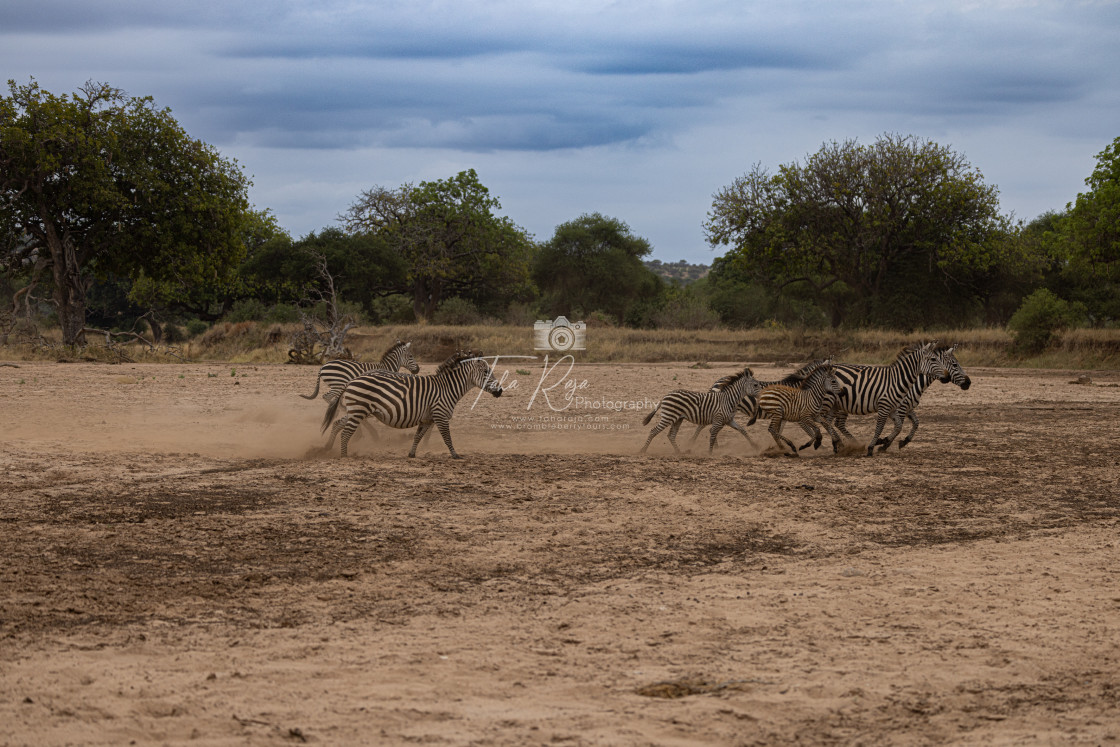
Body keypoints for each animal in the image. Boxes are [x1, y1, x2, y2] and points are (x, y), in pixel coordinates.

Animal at [322, 351, 501, 461]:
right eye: (486, 372)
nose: (500, 391)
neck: (447, 388)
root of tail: (351, 380)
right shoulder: (440, 416)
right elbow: (447, 438)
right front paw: (455, 455)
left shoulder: (427, 419)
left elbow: (418, 436)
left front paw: (411, 453)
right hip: (359, 410)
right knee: (346, 433)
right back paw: (344, 456)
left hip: (356, 410)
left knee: (339, 424)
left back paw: (330, 448)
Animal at [824, 342, 954, 456]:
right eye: (933, 359)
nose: (948, 376)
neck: (897, 380)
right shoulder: (885, 407)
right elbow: (879, 428)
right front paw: (871, 448)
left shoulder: (893, 408)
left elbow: (899, 426)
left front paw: (883, 441)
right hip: (832, 402)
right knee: (829, 422)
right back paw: (843, 444)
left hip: (835, 405)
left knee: (828, 422)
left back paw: (838, 444)